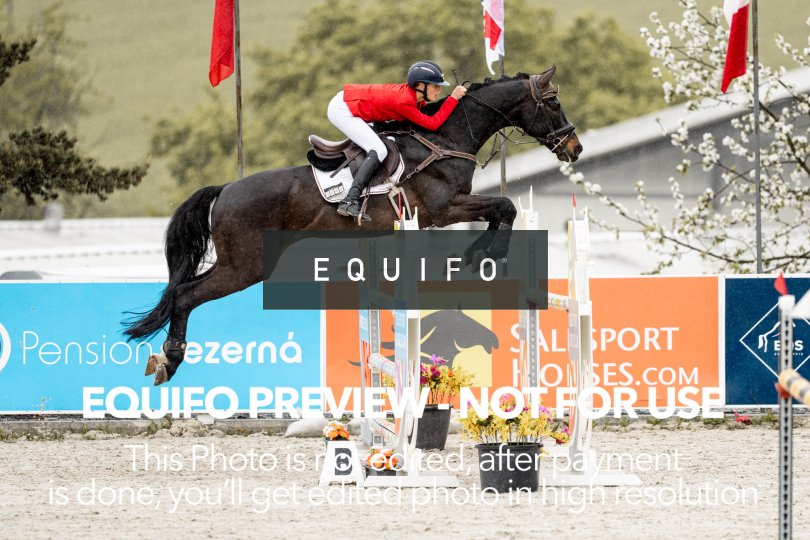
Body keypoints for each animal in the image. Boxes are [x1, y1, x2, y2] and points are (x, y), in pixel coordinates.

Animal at [123, 65, 582, 385]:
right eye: (553, 102)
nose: (575, 148)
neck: (445, 138)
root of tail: (226, 189)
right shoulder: (443, 210)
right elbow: (505, 206)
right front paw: (484, 254)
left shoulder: (446, 211)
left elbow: (501, 210)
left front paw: (478, 254)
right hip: (245, 266)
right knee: (185, 295)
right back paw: (170, 360)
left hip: (239, 263)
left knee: (182, 292)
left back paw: (165, 359)